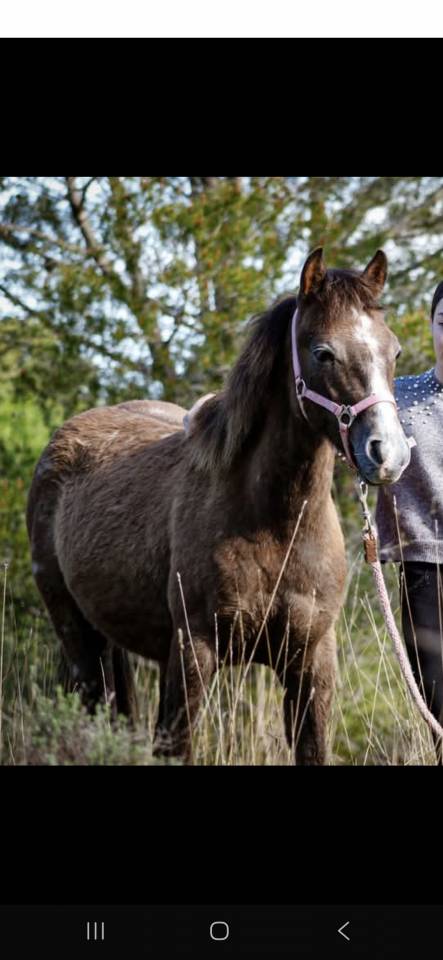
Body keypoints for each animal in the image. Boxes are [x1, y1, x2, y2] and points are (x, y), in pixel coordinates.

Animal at [27, 248, 411, 764]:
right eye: (323, 353)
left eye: (394, 352)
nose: (387, 453)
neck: (273, 526)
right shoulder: (194, 652)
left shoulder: (312, 660)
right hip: (76, 636)